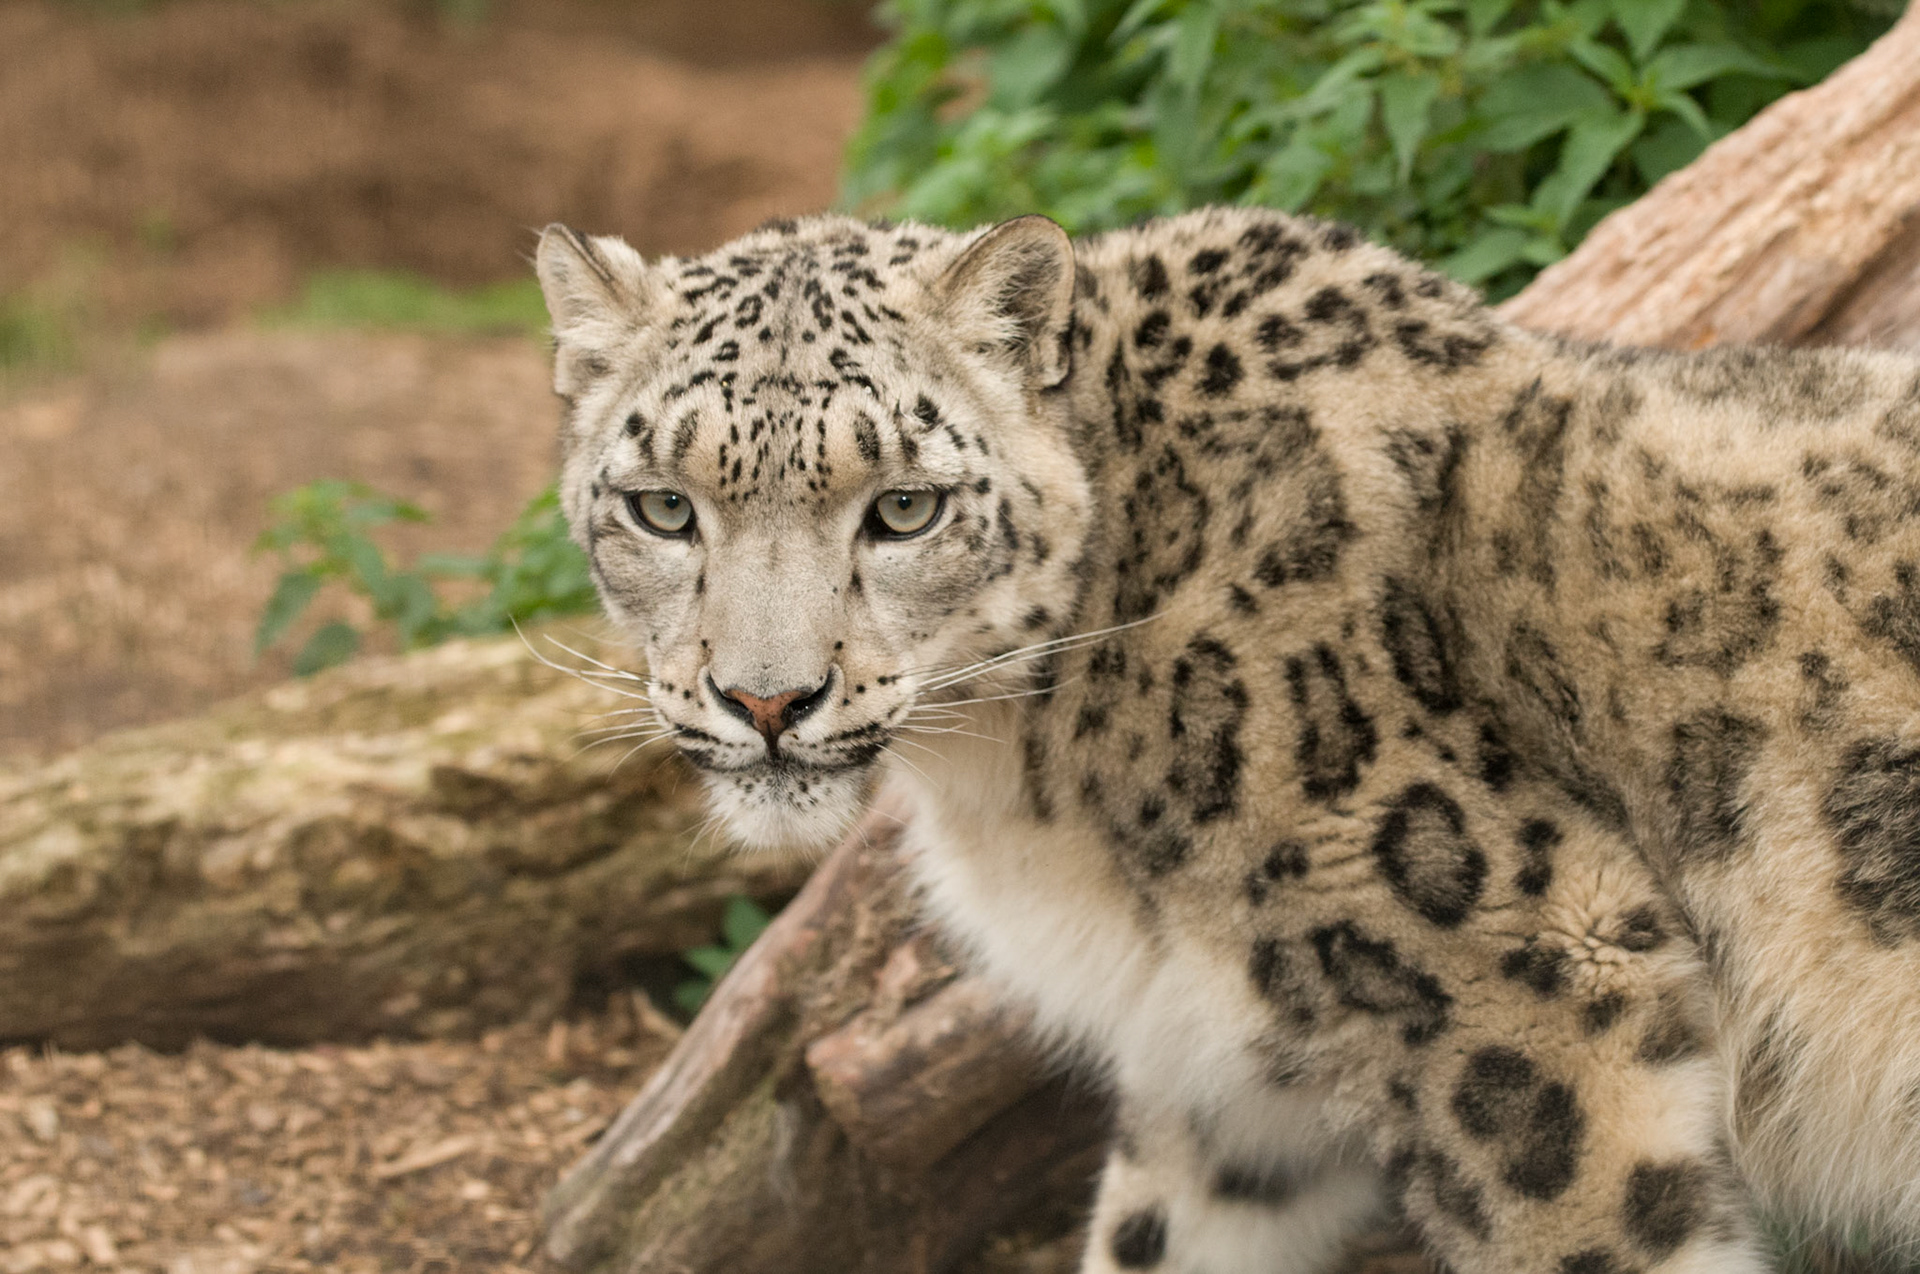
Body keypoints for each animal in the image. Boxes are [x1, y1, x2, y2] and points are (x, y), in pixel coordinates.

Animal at [532, 204, 1920, 1274]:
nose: (767, 701)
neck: (1025, 779)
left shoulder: (1534, 993)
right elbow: (1152, 1235)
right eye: (663, 506)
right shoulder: (1221, 1075)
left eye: (906, 507)